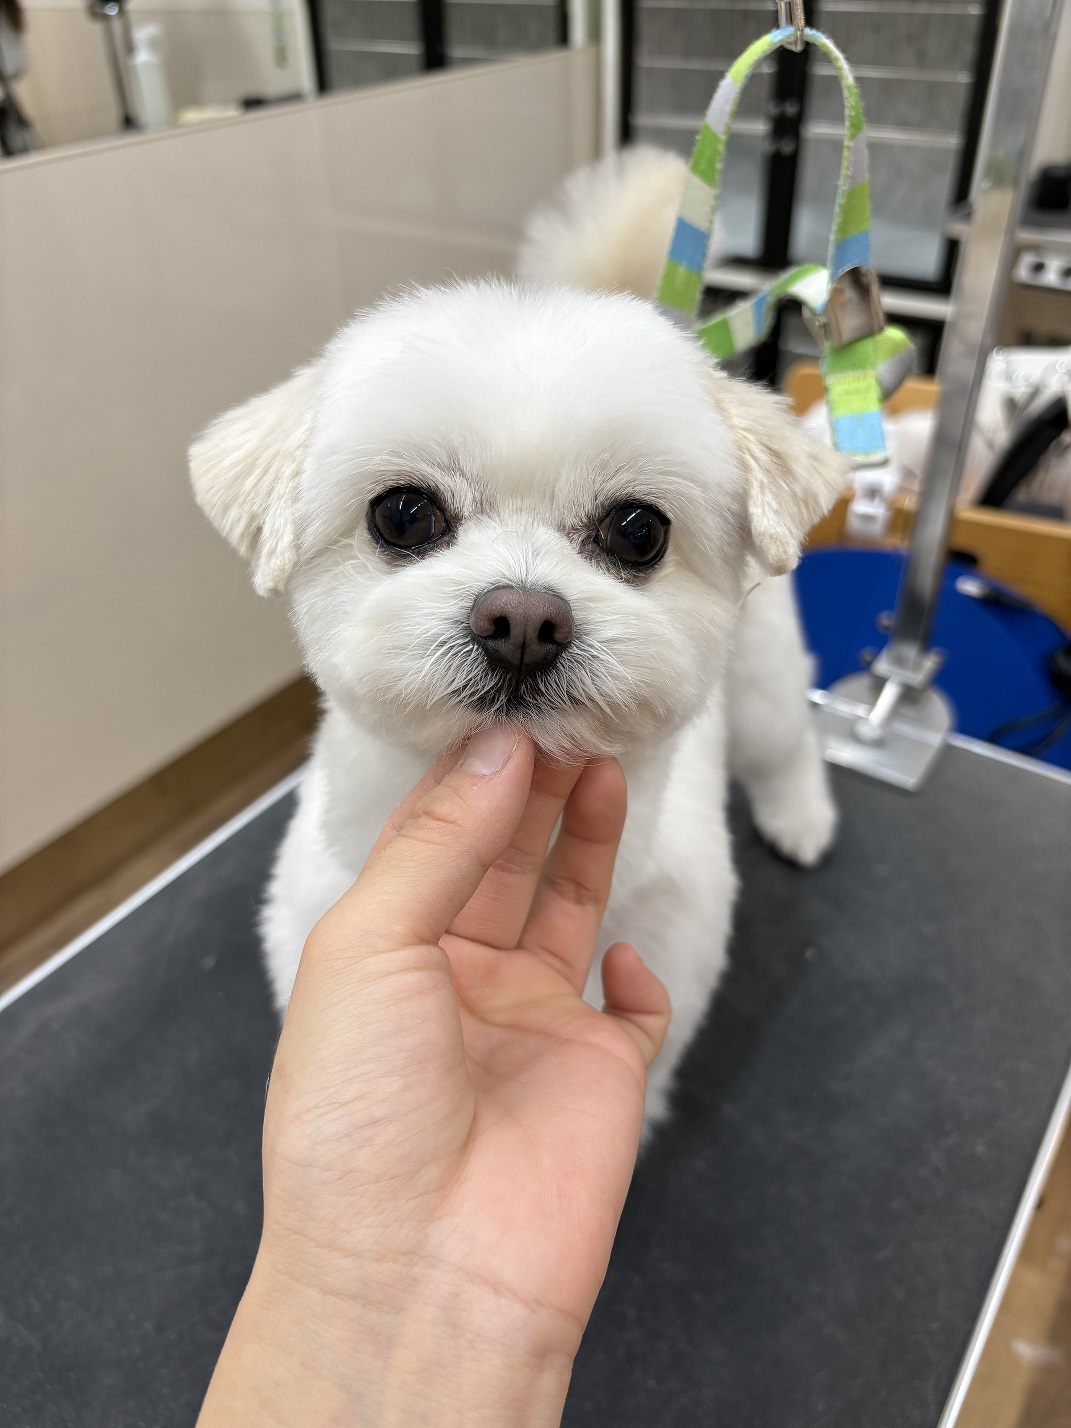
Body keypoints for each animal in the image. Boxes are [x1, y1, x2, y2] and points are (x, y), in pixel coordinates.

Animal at [189, 147, 846, 1129]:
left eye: (637, 532)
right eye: (404, 514)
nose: (525, 622)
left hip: (761, 680)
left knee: (785, 744)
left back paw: (800, 818)